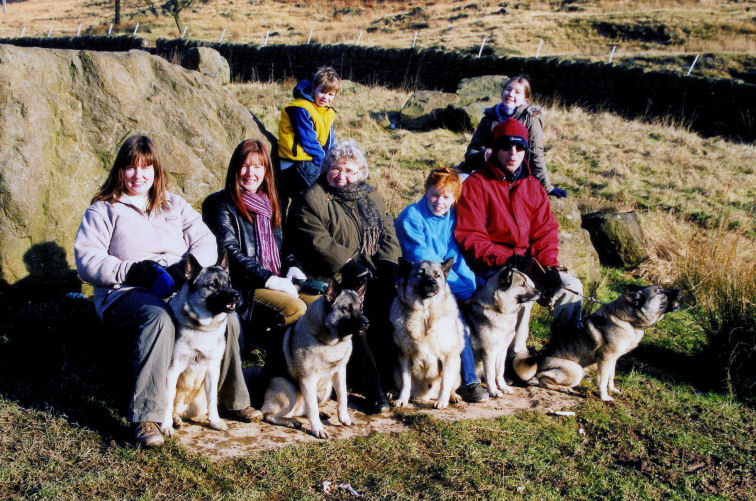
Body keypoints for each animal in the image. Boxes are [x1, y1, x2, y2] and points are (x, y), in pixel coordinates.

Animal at [160, 252, 239, 436]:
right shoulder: (172, 370)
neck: (203, 328)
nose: (236, 295)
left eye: (229, 282)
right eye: (213, 285)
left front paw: (215, 422)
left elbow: (211, 400)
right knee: (171, 406)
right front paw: (166, 426)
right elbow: (167, 402)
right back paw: (173, 420)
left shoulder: (212, 369)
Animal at [260, 280, 370, 440]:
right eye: (347, 308)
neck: (330, 343)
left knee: (305, 410)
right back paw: (291, 421)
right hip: (289, 389)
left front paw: (343, 417)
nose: (366, 322)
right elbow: (312, 409)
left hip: (326, 389)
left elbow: (342, 396)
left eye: (361, 308)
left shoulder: (340, 373)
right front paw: (317, 429)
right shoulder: (308, 380)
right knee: (269, 415)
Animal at [392, 258, 464, 406]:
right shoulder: (404, 356)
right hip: (396, 371)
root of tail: (424, 396)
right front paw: (402, 399)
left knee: (451, 386)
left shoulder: (448, 356)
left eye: (437, 275)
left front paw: (442, 401)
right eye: (420, 274)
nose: (432, 283)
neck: (425, 314)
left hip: (457, 366)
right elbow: (406, 383)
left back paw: (452, 396)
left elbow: (445, 383)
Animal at [460, 266, 536, 398]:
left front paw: (503, 387)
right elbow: (491, 374)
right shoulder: (489, 352)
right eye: (522, 284)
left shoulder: (502, 350)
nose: (540, 292)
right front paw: (494, 391)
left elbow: (499, 371)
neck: (497, 309)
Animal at [510, 286, 684, 398]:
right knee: (542, 380)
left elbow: (610, 377)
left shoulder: (613, 360)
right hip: (576, 370)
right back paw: (565, 390)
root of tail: (538, 360)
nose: (680, 291)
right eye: (660, 292)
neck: (627, 320)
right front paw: (605, 397)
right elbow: (602, 381)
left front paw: (612, 389)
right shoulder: (606, 359)